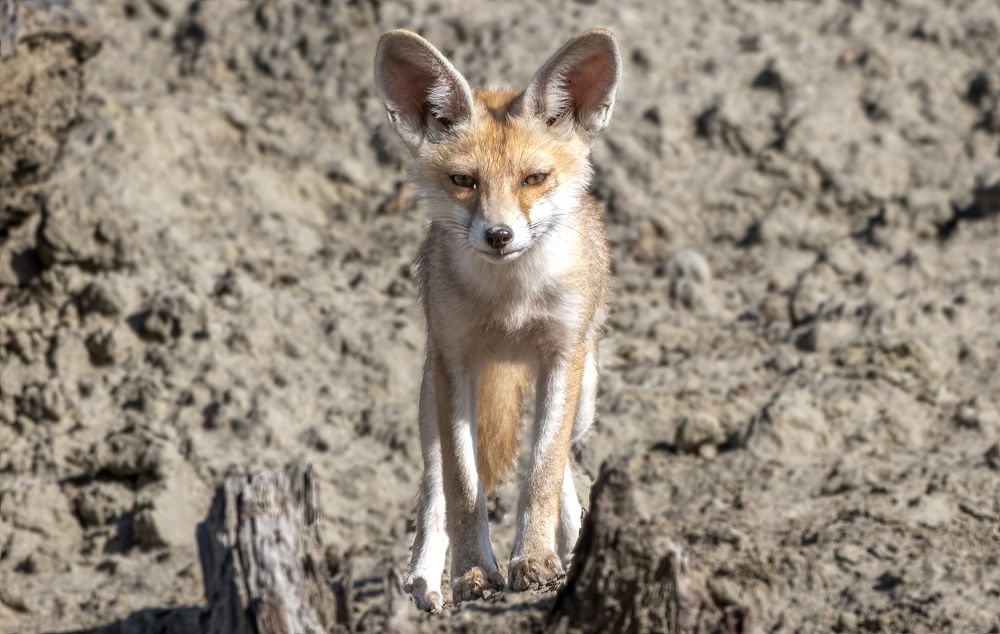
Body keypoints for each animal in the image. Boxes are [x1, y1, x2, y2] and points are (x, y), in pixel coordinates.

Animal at [373, 28, 621, 611]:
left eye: (535, 178)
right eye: (464, 180)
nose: (499, 235)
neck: (510, 307)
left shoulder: (562, 356)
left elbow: (543, 471)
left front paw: (532, 560)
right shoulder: (454, 364)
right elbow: (464, 487)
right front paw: (472, 574)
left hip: (585, 391)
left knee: (565, 464)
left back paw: (570, 546)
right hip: (429, 399)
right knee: (433, 482)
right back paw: (425, 579)